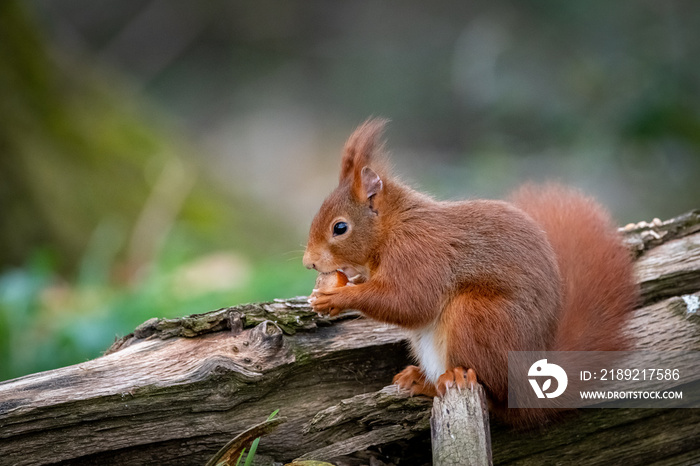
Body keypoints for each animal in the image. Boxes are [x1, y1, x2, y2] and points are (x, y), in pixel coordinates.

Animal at [304, 118, 636, 424]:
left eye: (340, 228)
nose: (309, 262)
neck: (391, 228)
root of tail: (530, 393)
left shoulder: (420, 254)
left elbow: (411, 302)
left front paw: (338, 296)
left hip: (477, 316)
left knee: (496, 398)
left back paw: (457, 379)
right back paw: (421, 380)